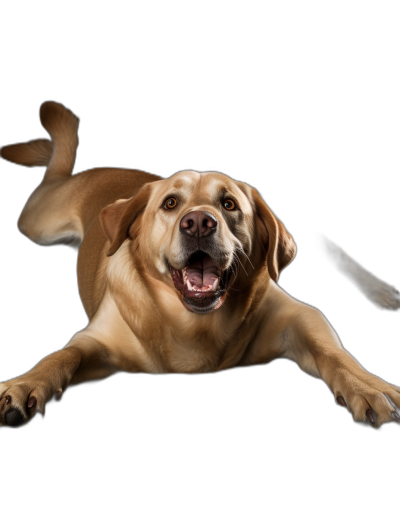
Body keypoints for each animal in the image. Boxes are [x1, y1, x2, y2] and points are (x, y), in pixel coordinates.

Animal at [0, 102, 398, 430]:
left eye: (229, 204)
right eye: (170, 203)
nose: (198, 224)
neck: (193, 323)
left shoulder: (299, 316)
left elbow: (334, 353)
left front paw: (367, 385)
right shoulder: (95, 340)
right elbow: (64, 355)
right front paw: (27, 384)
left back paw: (380, 290)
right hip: (39, 222)